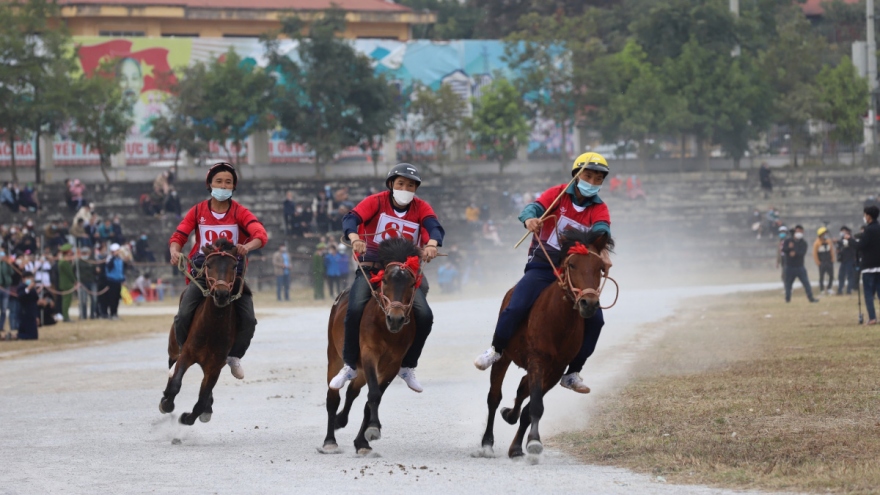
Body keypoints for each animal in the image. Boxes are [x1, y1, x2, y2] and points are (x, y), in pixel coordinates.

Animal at [159, 238, 246, 424]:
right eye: (209, 264)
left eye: (234, 266)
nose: (221, 294)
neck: (212, 327)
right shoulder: (187, 354)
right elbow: (175, 383)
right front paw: (166, 404)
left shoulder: (214, 367)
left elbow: (202, 398)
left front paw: (188, 417)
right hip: (173, 349)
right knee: (172, 369)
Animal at [320, 238, 422, 456]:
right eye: (385, 280)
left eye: (411, 283)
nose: (395, 318)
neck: (385, 327)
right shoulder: (369, 354)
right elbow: (373, 394)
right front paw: (374, 427)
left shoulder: (391, 365)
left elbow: (371, 399)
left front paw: (364, 440)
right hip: (335, 356)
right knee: (333, 397)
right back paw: (330, 440)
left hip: (361, 371)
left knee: (352, 391)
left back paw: (343, 421)